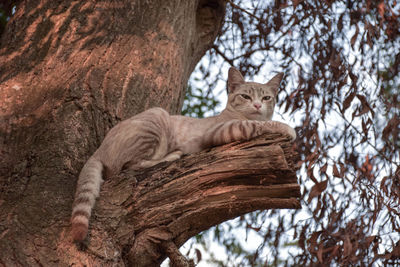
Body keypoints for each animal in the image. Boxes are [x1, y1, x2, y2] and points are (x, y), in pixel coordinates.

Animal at [71, 67, 296, 243]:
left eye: (266, 98)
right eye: (246, 96)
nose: (258, 105)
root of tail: (98, 150)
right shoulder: (223, 130)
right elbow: (258, 124)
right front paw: (288, 129)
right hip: (157, 118)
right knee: (131, 165)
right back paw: (172, 155)